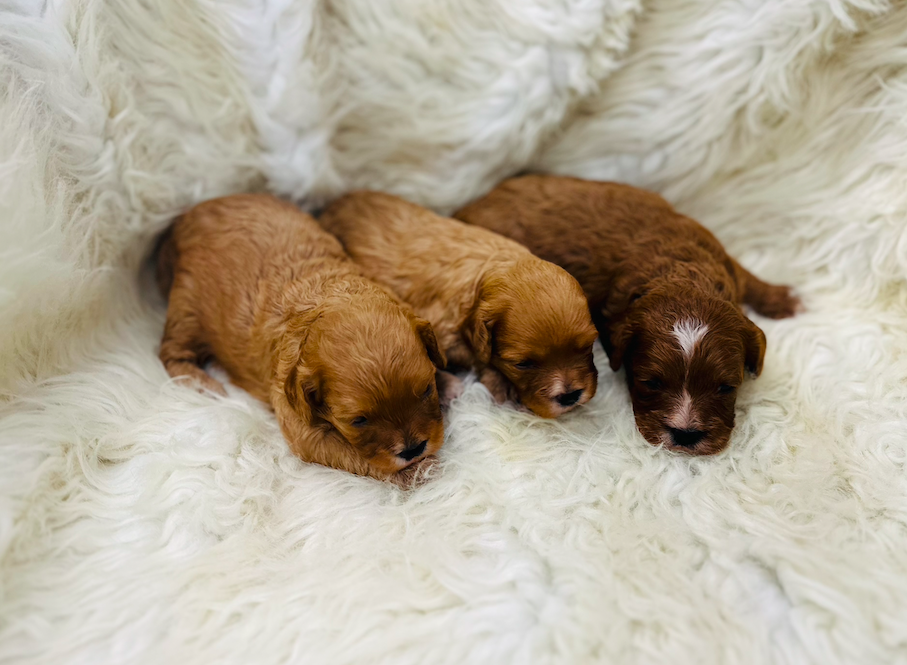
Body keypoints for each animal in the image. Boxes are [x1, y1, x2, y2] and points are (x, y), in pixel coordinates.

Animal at [160, 192, 450, 482]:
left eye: (427, 389)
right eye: (358, 421)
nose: (413, 449)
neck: (325, 293)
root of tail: (185, 218)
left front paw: (449, 381)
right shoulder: (299, 422)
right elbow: (355, 456)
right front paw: (419, 472)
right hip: (186, 306)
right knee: (171, 350)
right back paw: (201, 384)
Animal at [316, 189, 600, 418]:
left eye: (588, 345)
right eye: (522, 364)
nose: (569, 396)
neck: (490, 268)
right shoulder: (440, 330)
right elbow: (476, 357)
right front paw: (502, 386)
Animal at [454, 172, 800, 452]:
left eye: (727, 387)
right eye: (650, 383)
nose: (686, 435)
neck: (680, 272)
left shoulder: (721, 258)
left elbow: (747, 276)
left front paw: (782, 298)